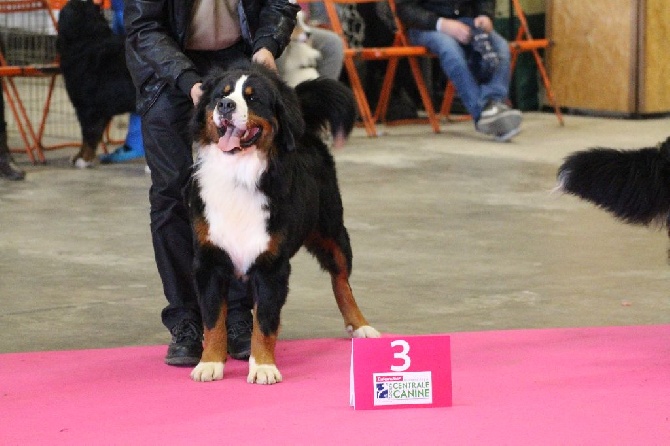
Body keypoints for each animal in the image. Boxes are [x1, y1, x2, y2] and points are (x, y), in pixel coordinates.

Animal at [57, 0, 136, 167]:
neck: (87, 40)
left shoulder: (88, 109)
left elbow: (89, 135)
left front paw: (84, 159)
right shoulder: (100, 110)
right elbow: (90, 136)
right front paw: (80, 156)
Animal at [189, 64, 380, 386]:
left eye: (252, 98)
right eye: (220, 94)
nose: (225, 106)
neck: (239, 173)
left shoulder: (271, 264)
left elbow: (265, 322)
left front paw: (263, 366)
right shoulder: (210, 259)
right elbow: (214, 320)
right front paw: (210, 363)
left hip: (332, 230)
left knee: (341, 279)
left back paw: (360, 325)